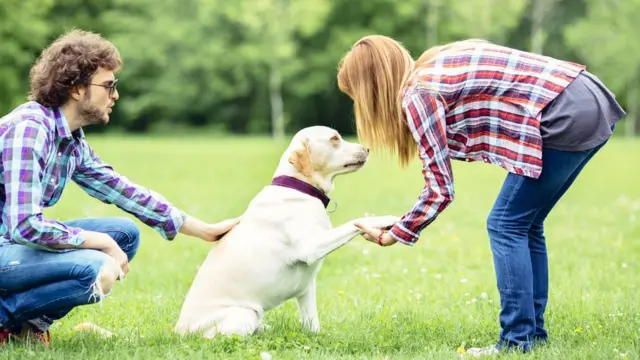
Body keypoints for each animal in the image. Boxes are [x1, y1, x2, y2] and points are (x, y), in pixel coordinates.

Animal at [172, 126, 398, 338]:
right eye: (335, 138)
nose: (367, 149)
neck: (299, 187)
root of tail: (178, 330)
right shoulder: (312, 246)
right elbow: (356, 222)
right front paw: (387, 219)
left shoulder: (307, 287)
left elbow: (312, 322)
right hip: (245, 314)